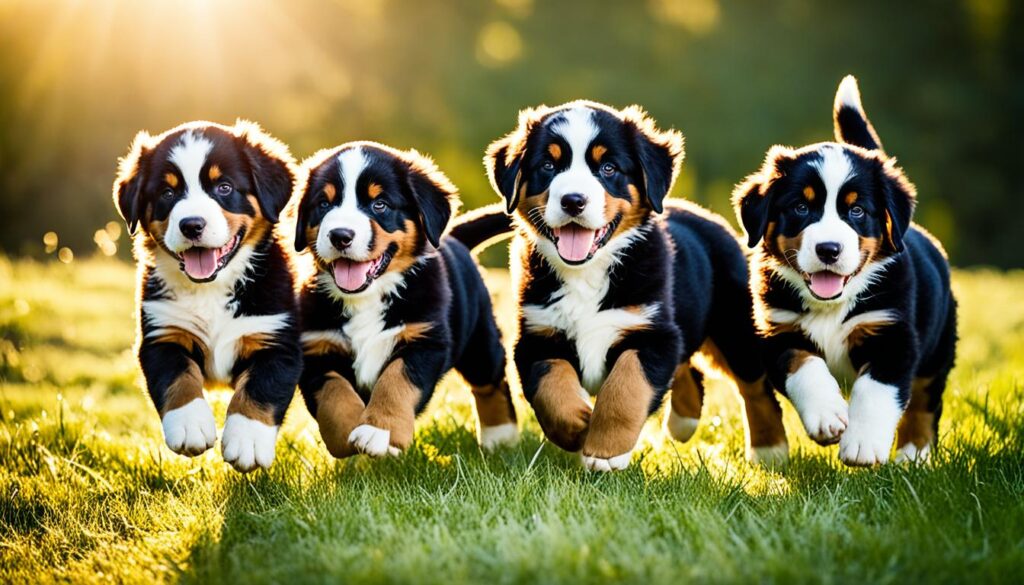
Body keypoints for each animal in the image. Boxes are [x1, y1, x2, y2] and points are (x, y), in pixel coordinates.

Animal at [294, 140, 520, 456]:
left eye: (379, 204)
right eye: (324, 204)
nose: (340, 235)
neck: (368, 297)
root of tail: (455, 238)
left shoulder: (425, 339)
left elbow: (396, 380)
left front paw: (380, 431)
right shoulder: (317, 348)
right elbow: (334, 393)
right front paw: (347, 433)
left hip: (480, 340)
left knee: (491, 381)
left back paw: (501, 436)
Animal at [466, 100, 790, 471]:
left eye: (608, 168)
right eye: (548, 165)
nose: (573, 200)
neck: (586, 274)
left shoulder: (652, 330)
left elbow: (627, 385)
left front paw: (605, 451)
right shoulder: (537, 335)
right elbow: (552, 387)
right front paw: (579, 425)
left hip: (733, 326)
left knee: (754, 385)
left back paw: (769, 449)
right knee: (690, 369)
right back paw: (683, 422)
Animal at [733, 76, 954, 467]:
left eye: (857, 211)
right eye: (800, 207)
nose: (828, 249)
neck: (831, 306)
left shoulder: (893, 334)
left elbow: (875, 390)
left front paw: (862, 444)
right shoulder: (778, 332)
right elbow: (805, 366)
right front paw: (826, 417)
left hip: (938, 348)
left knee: (925, 401)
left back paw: (913, 454)